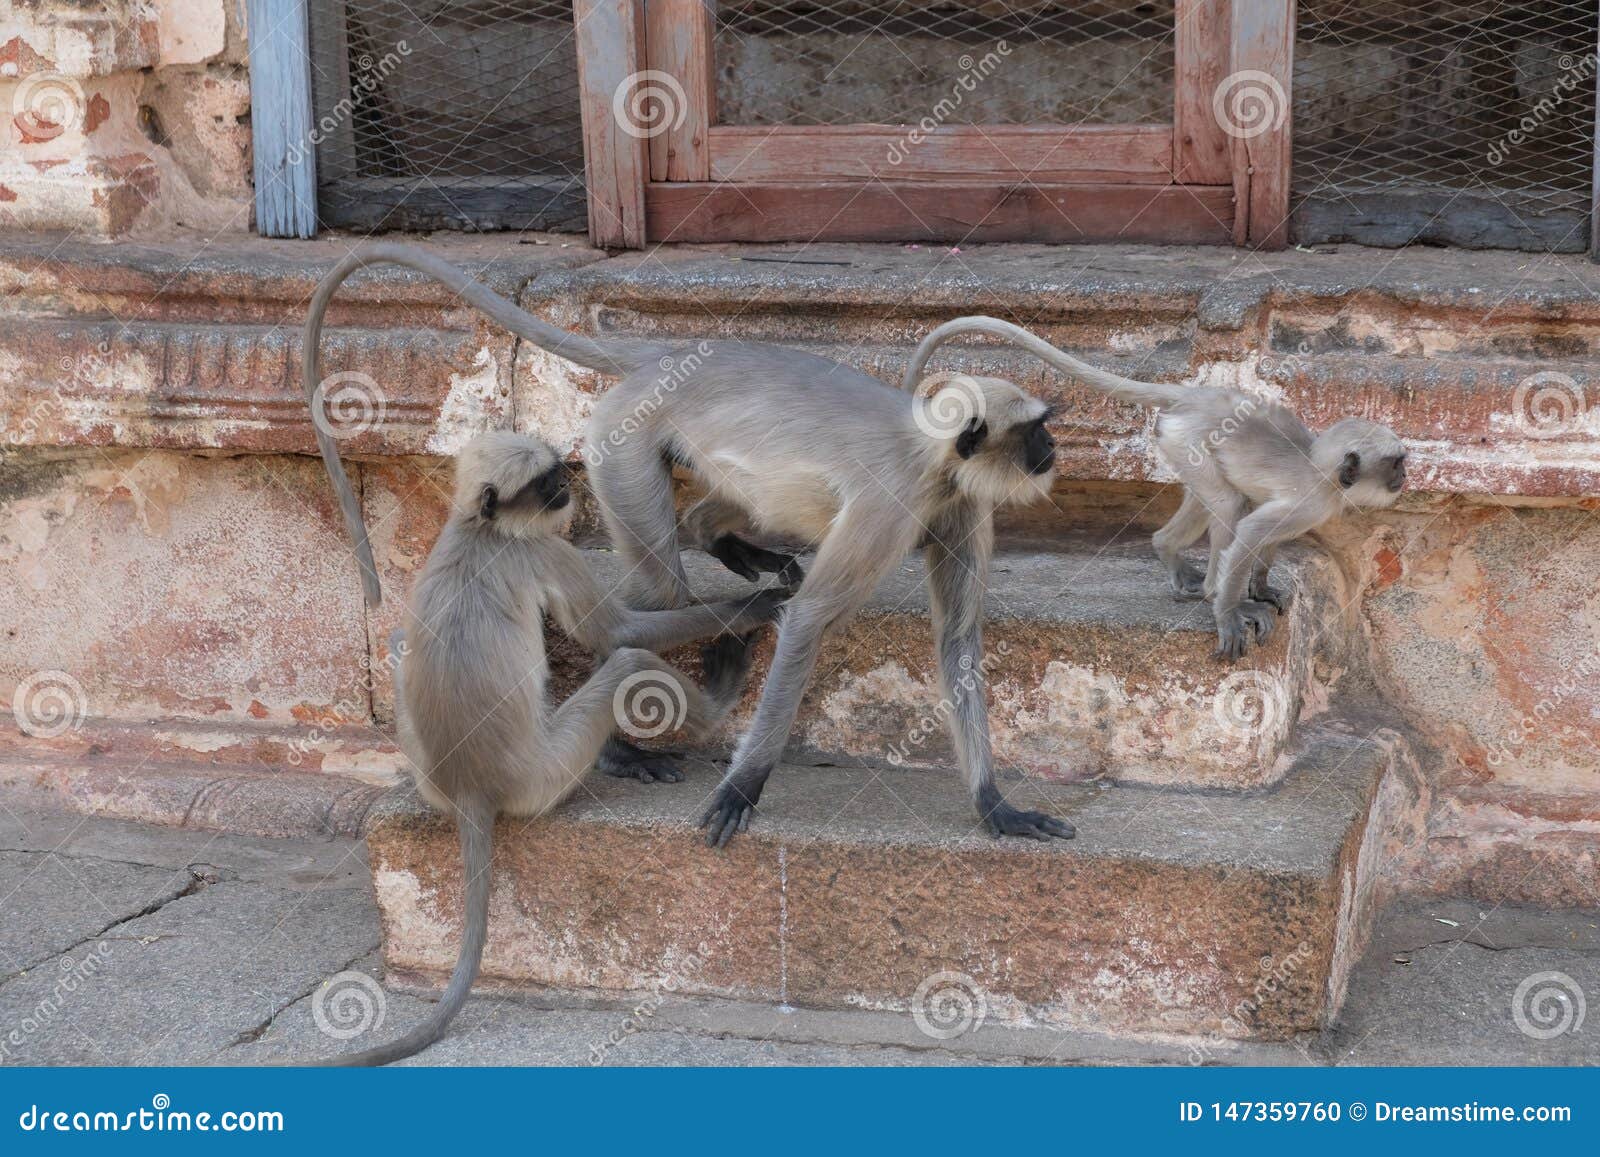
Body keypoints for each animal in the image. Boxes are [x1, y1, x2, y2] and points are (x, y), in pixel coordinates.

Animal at [300, 236, 1075, 851]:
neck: (932, 453)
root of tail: (670, 355)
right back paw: (620, 749)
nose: (1053, 450)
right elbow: (809, 619)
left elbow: (959, 639)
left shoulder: (960, 500)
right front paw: (744, 784)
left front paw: (994, 804)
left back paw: (727, 546)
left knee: (722, 519)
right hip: (622, 442)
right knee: (650, 596)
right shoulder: (894, 499)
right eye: (1035, 430)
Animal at [302, 435, 777, 1068]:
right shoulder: (542, 550)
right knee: (627, 662)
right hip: (543, 773)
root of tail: (472, 787)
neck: (479, 529)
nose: (568, 486)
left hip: (432, 769)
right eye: (545, 482)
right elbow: (617, 632)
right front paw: (759, 602)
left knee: (400, 641)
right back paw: (680, 723)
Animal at [908, 316, 1408, 659]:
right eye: (1396, 464)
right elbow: (1251, 530)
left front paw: (1261, 587)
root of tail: (1193, 396)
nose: (1405, 478)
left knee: (1216, 500)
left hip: (1181, 446)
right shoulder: (1311, 500)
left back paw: (1168, 550)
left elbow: (1263, 531)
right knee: (1228, 505)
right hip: (1189, 440)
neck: (1317, 464)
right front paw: (1232, 609)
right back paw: (1213, 594)